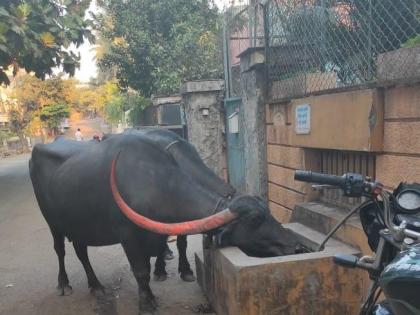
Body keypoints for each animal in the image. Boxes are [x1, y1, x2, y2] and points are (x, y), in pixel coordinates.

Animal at [29, 130, 296, 314]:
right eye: (256, 219)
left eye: (268, 211)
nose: (295, 245)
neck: (149, 180)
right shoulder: (129, 236)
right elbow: (140, 270)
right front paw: (147, 302)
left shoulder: (160, 229)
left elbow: (170, 247)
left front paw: (174, 271)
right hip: (52, 220)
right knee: (60, 249)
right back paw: (64, 284)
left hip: (79, 224)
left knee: (81, 251)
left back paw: (95, 285)